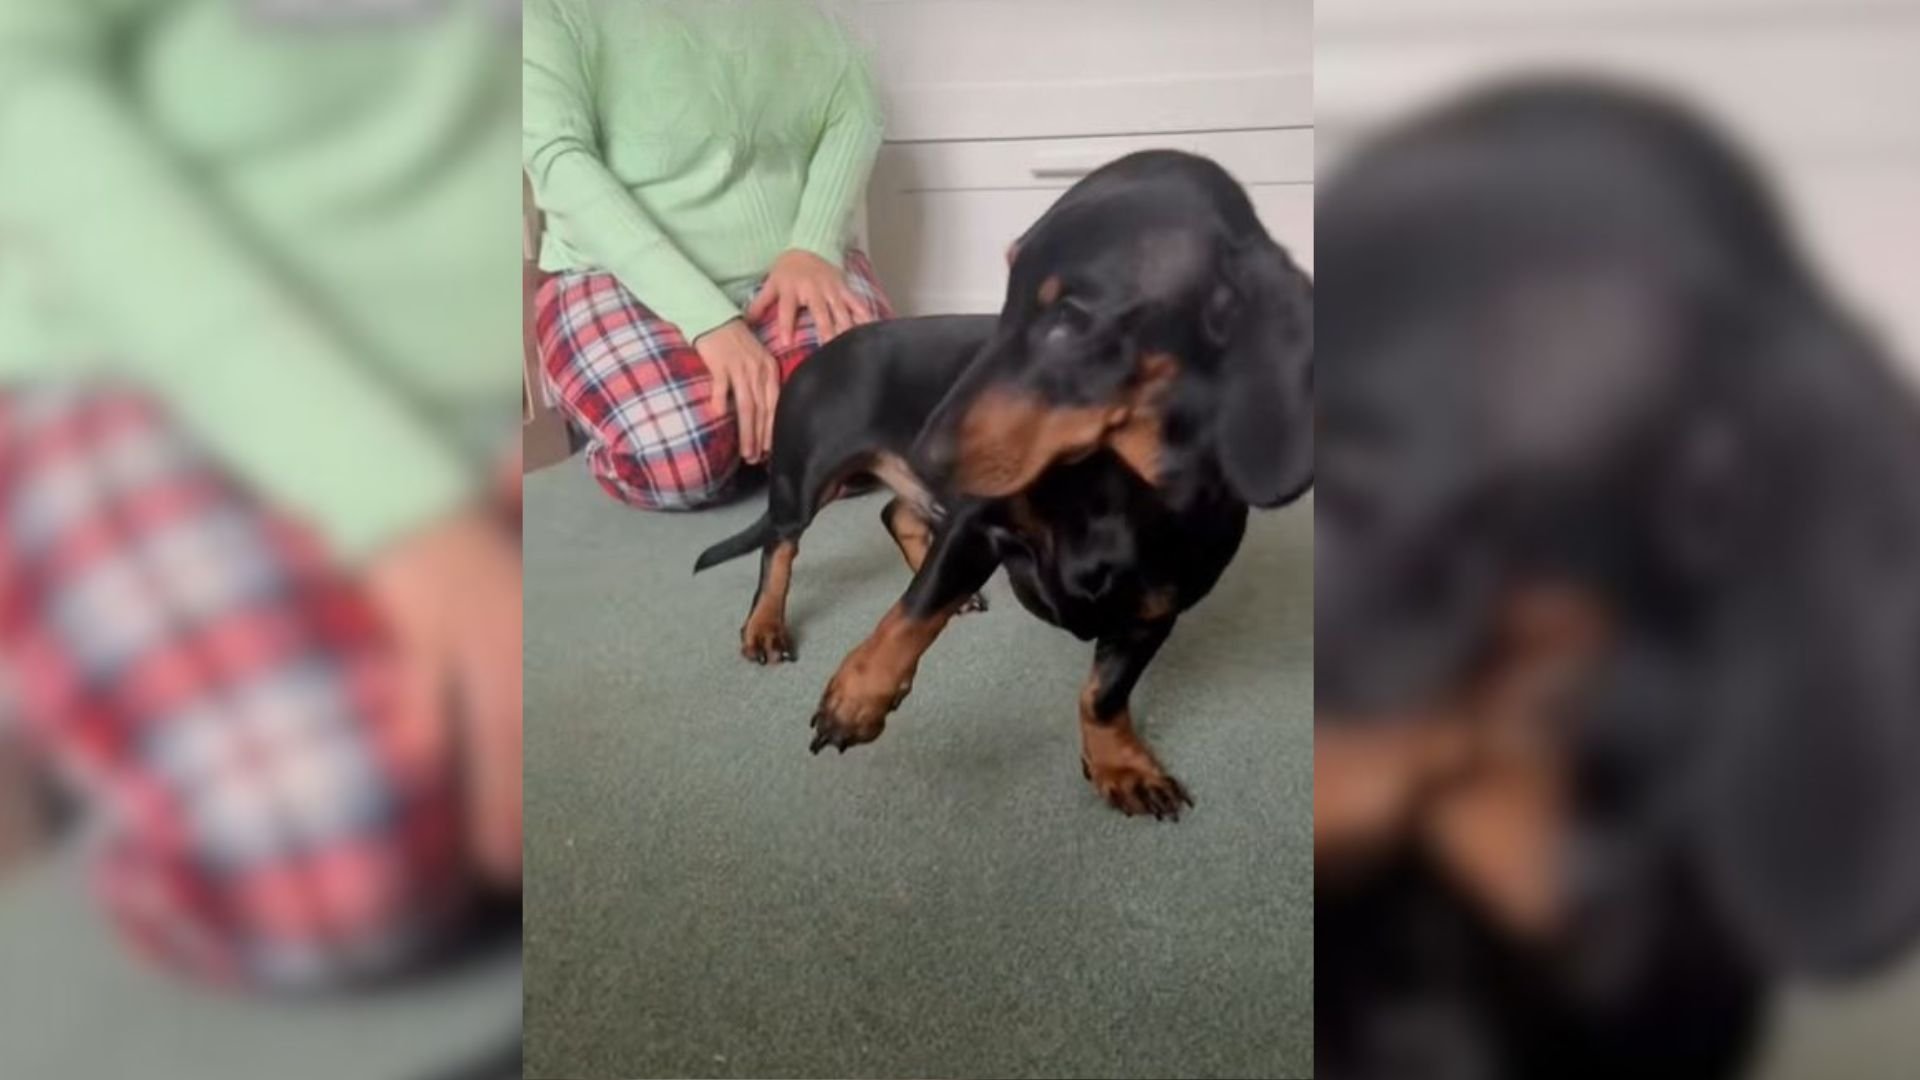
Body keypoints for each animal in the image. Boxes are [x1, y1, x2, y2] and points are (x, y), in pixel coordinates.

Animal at [698, 147, 1313, 810]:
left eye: (1071, 317)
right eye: (1008, 292)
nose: (925, 451)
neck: (1117, 489)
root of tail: (822, 350)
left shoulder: (1153, 611)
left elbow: (1104, 694)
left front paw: (1120, 763)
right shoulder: (975, 525)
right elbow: (909, 614)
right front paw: (856, 698)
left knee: (895, 512)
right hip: (807, 478)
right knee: (780, 545)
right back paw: (765, 625)